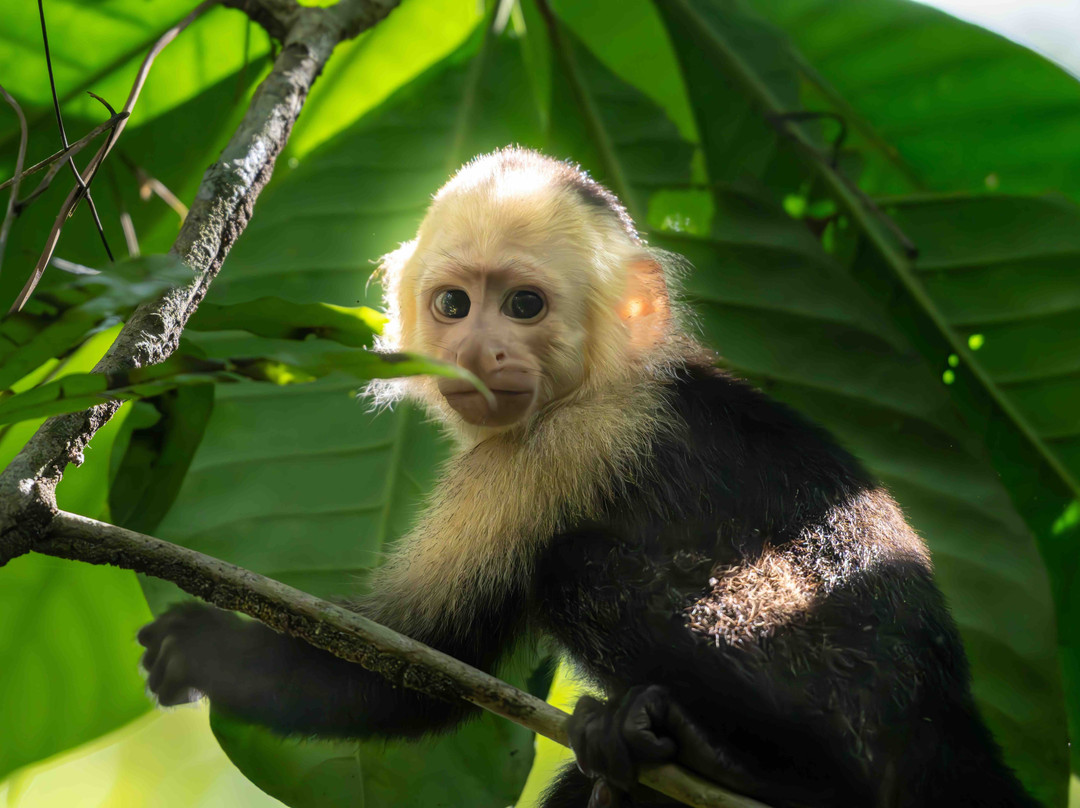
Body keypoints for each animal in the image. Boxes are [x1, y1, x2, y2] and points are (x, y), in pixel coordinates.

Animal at [137, 147, 1036, 808]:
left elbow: (419, 659)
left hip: (833, 684)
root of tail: (942, 718)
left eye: (524, 306)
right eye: (455, 306)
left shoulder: (552, 452)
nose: (477, 351)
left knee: (578, 567)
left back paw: (765, 769)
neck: (601, 381)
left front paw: (211, 653)